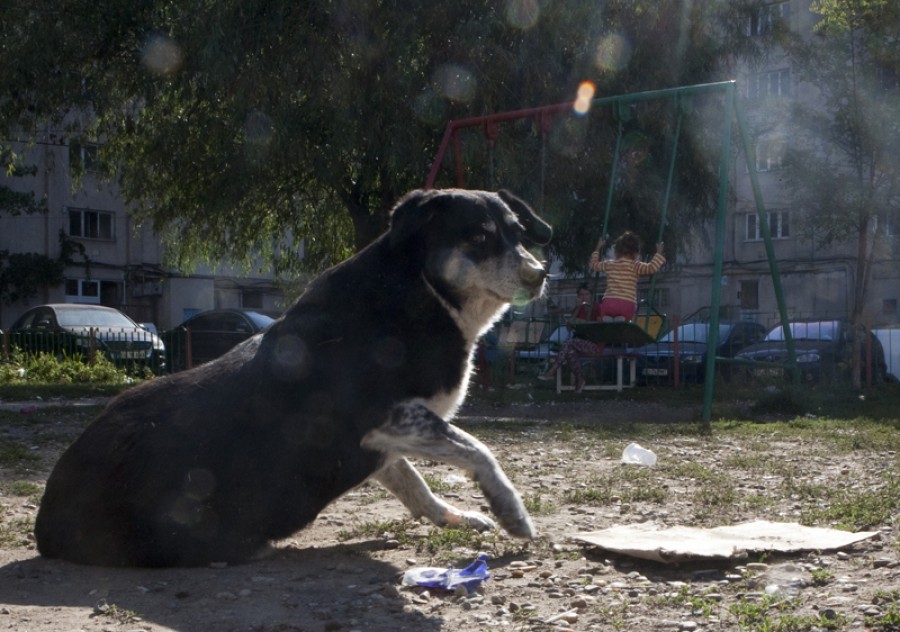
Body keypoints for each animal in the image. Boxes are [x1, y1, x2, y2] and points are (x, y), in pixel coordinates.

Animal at [35, 188, 552, 568]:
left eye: (518, 234)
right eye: (479, 237)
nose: (540, 274)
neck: (418, 293)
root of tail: (44, 525)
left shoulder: (381, 444)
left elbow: (416, 485)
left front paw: (457, 517)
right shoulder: (389, 418)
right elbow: (479, 450)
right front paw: (511, 511)